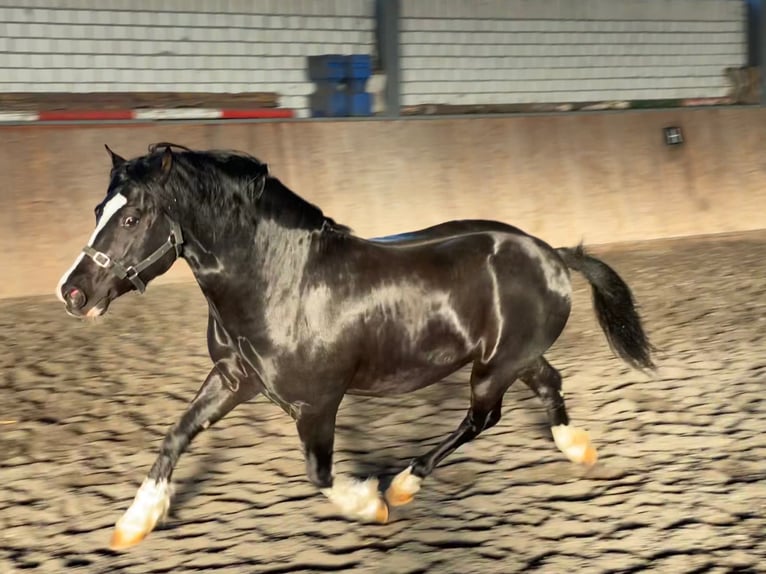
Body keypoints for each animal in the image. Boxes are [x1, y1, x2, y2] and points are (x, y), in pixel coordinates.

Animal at [56, 143, 654, 550]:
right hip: (515, 358)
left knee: (483, 418)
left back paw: (406, 484)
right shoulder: (234, 378)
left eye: (132, 217)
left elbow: (319, 474)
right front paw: (134, 523)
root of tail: (552, 253)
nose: (72, 293)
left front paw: (370, 504)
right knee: (548, 384)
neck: (279, 281)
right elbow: (177, 435)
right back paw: (576, 447)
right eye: (97, 211)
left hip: (494, 368)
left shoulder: (316, 402)